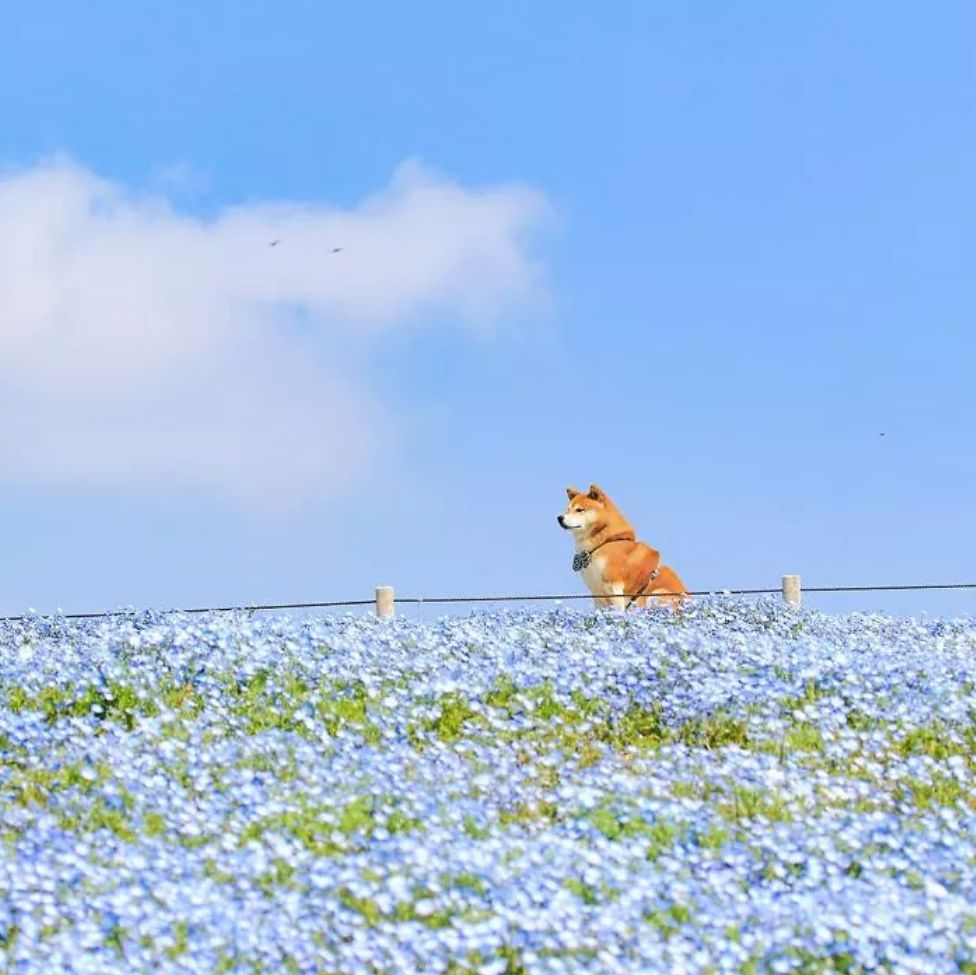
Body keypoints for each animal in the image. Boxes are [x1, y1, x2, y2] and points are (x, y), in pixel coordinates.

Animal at [556, 482, 688, 608]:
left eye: (579, 510)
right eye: (567, 510)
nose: (559, 518)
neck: (605, 542)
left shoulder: (613, 587)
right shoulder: (597, 594)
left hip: (656, 595)